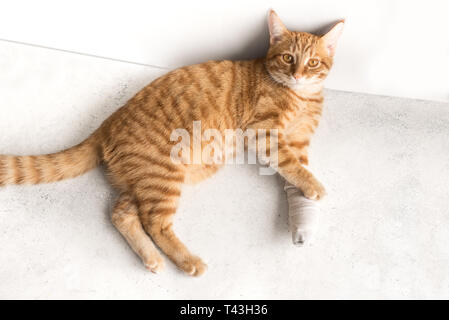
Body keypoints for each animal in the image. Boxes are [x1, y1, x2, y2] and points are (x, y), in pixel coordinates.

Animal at [0, 9, 344, 276]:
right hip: (165, 176)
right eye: (287, 58)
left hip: (150, 181)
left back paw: (152, 258)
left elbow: (296, 168)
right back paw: (187, 261)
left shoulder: (298, 142)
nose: (298, 74)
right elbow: (290, 164)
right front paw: (314, 186)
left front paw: (304, 207)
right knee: (155, 223)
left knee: (122, 213)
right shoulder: (263, 133)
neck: (301, 96)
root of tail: (108, 123)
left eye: (313, 63)